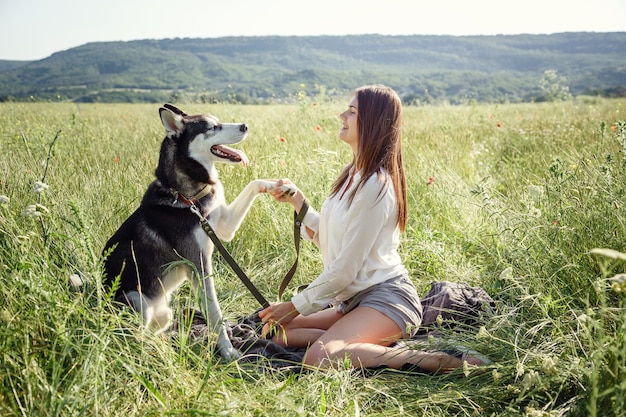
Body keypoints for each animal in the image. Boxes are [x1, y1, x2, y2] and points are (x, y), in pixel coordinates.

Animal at [101, 103, 288, 358]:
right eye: (212, 127)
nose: (245, 126)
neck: (186, 198)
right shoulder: (198, 264)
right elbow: (215, 312)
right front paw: (228, 351)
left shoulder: (224, 226)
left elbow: (253, 183)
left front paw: (281, 186)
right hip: (136, 300)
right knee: (132, 340)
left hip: (164, 313)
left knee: (151, 333)